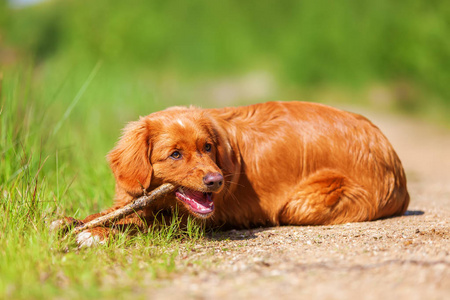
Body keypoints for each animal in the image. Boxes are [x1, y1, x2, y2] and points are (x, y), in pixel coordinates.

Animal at [58, 102, 410, 247]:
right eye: (175, 154)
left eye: (208, 147)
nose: (216, 181)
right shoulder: (134, 199)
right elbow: (113, 212)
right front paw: (71, 222)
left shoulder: (185, 224)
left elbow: (136, 225)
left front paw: (95, 233)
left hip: (301, 204)